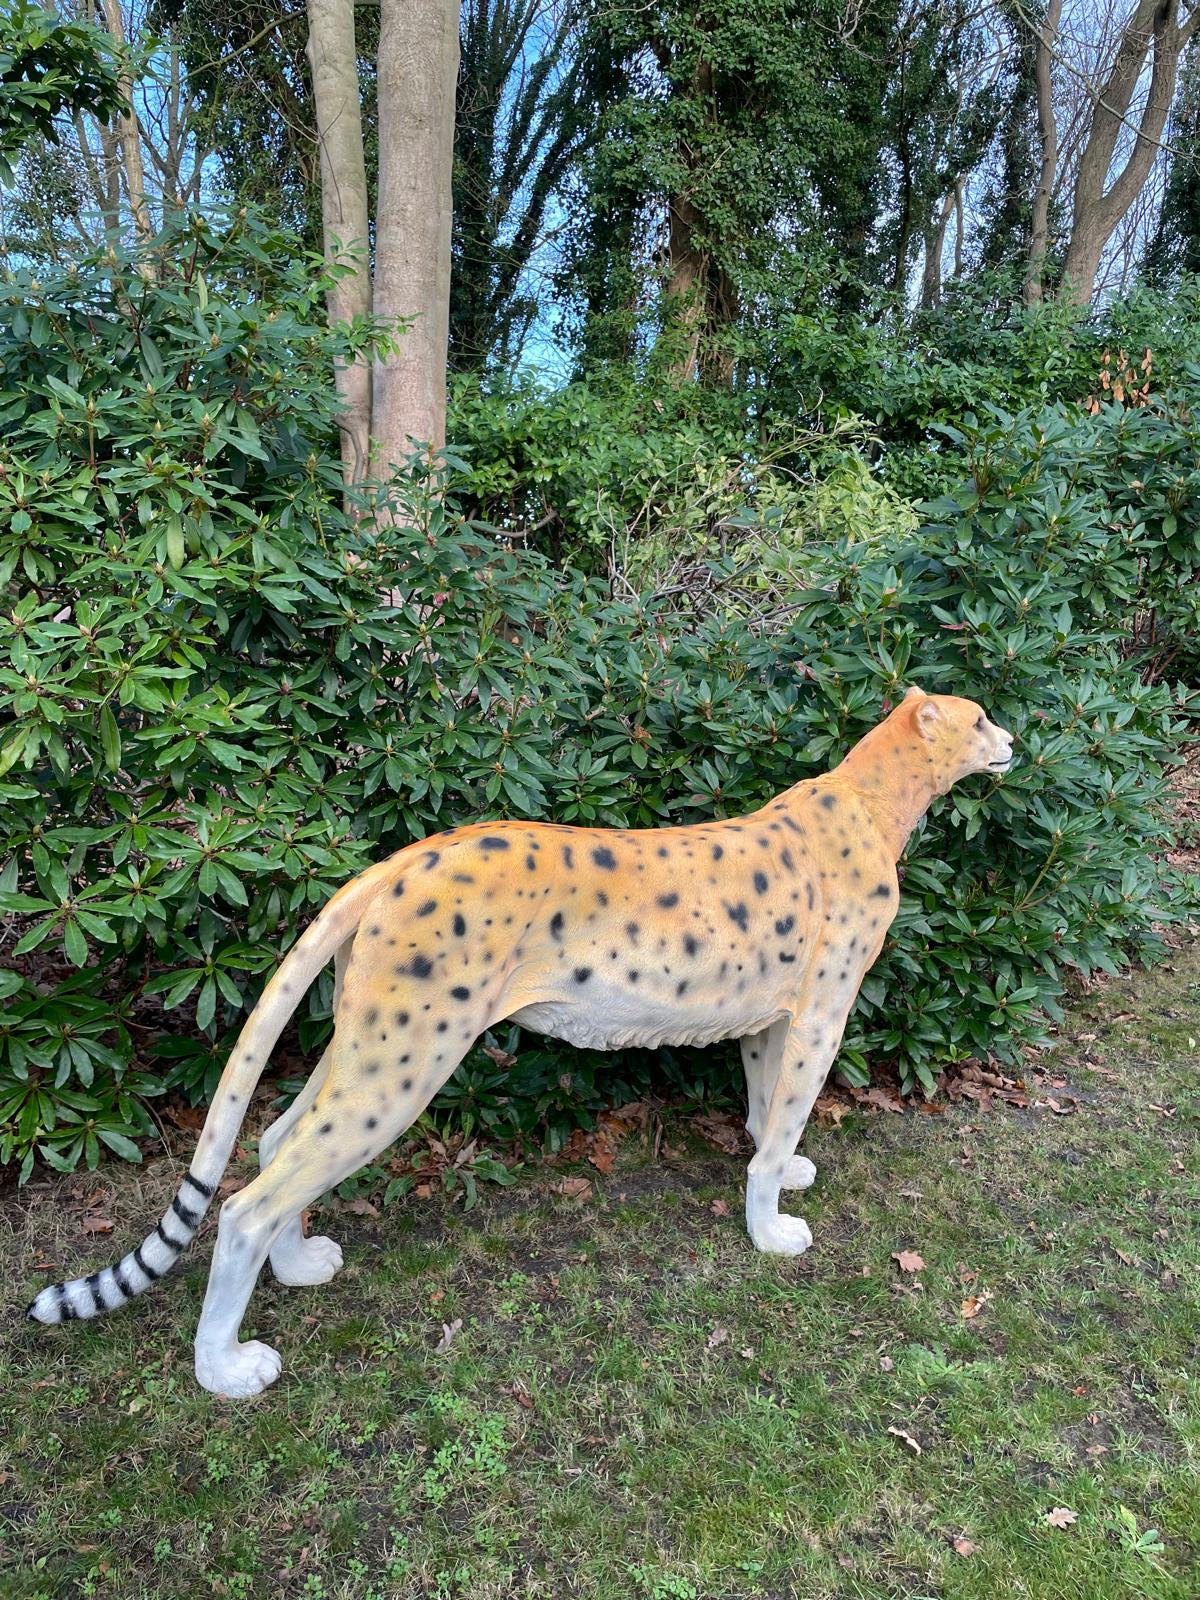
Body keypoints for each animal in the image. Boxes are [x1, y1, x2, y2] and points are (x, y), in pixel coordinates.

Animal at [27, 686, 1014, 1396]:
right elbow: (782, 1123)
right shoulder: (820, 1014)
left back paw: (301, 1264)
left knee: (274, 1144)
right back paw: (226, 1371)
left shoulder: (773, 1016)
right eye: (978, 718)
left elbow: (770, 1108)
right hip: (408, 1061)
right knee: (244, 1204)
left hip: (366, 1039)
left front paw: (781, 1168)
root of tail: (399, 857)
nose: (1009, 741)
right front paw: (772, 1231)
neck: (872, 794)